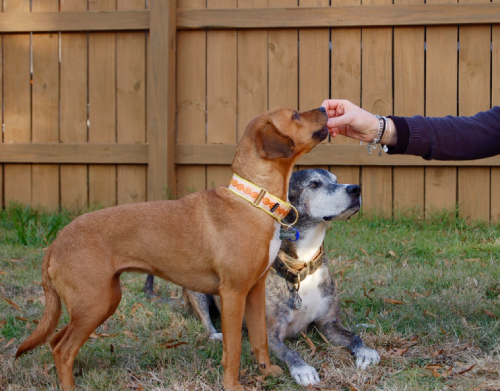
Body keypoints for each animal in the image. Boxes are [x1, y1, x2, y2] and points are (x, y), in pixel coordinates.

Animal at [15, 105, 330, 390]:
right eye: (295, 115)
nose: (327, 109)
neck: (255, 201)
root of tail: (56, 243)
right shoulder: (233, 294)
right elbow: (233, 350)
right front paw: (233, 385)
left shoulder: (253, 291)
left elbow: (259, 339)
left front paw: (267, 371)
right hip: (95, 304)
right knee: (62, 349)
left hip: (102, 301)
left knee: (56, 342)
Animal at [182, 170, 376, 388]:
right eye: (314, 184)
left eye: (336, 180)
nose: (356, 188)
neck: (301, 266)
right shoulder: (271, 336)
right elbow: (289, 351)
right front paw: (303, 369)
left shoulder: (329, 324)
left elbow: (353, 336)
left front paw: (366, 351)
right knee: (206, 317)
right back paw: (215, 333)